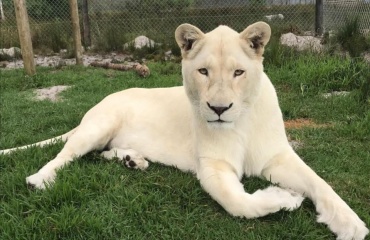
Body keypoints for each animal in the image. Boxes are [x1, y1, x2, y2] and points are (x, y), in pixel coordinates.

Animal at [1, 21, 368, 239]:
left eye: (238, 72)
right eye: (203, 71)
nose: (219, 109)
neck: (242, 122)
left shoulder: (277, 156)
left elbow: (321, 184)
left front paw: (350, 224)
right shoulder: (213, 167)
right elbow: (241, 203)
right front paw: (285, 198)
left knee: (100, 153)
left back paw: (133, 160)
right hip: (99, 125)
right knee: (67, 153)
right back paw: (40, 179)